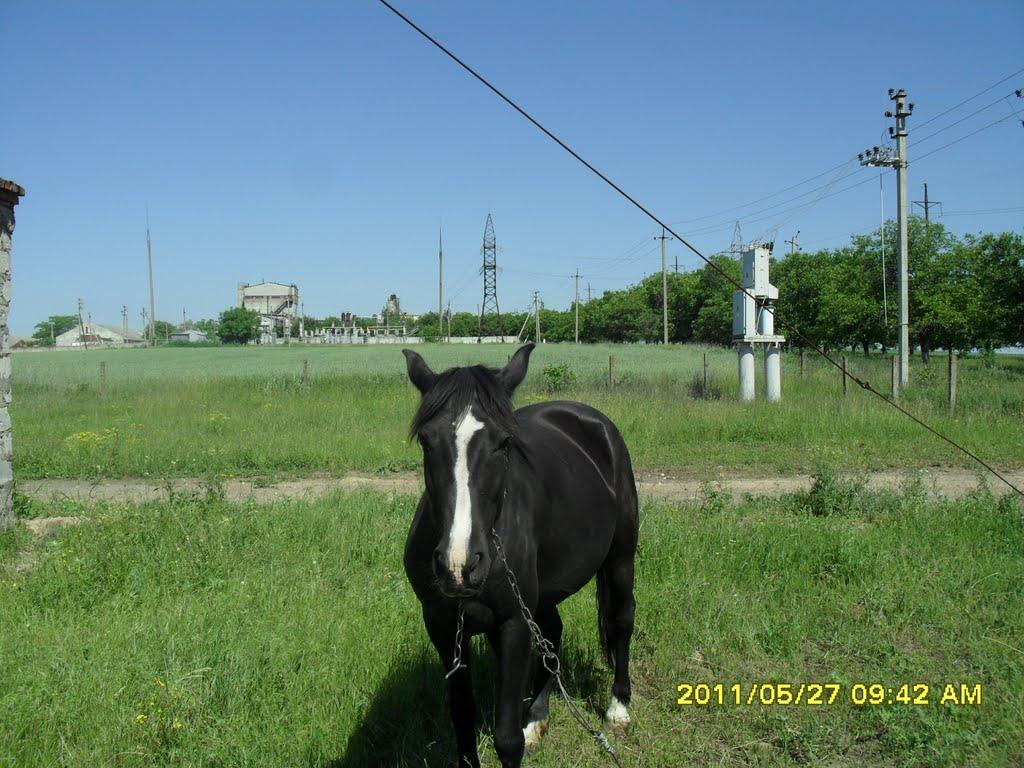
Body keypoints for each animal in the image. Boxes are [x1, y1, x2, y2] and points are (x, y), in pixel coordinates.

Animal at [401, 348, 634, 768]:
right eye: (426, 441)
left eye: (503, 442)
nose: (459, 566)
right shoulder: (442, 627)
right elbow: (462, 719)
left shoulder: (512, 625)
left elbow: (507, 739)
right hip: (543, 593)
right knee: (553, 634)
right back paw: (537, 718)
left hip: (621, 558)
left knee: (622, 621)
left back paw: (618, 707)